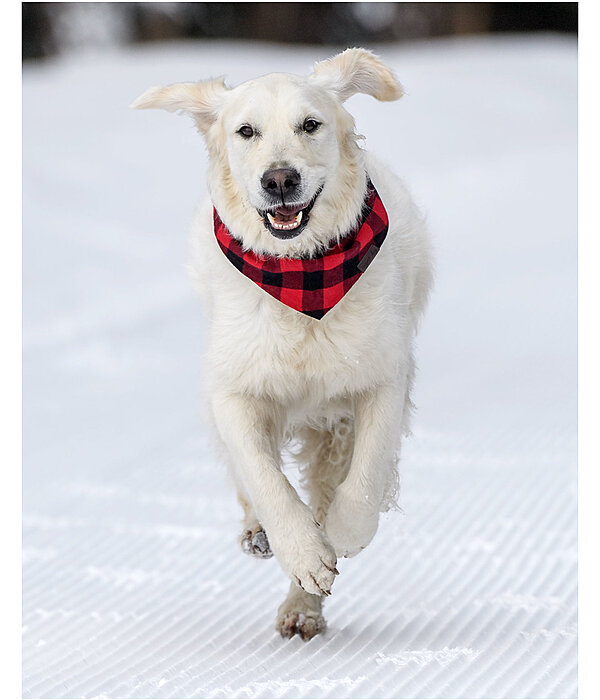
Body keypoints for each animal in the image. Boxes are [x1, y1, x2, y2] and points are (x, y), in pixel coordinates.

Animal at [132, 47, 432, 640]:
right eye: (246, 131)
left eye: (310, 124)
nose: (279, 180)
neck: (302, 275)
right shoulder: (234, 388)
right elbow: (264, 477)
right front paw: (301, 550)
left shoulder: (383, 375)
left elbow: (365, 477)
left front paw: (342, 535)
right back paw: (262, 537)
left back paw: (303, 605)